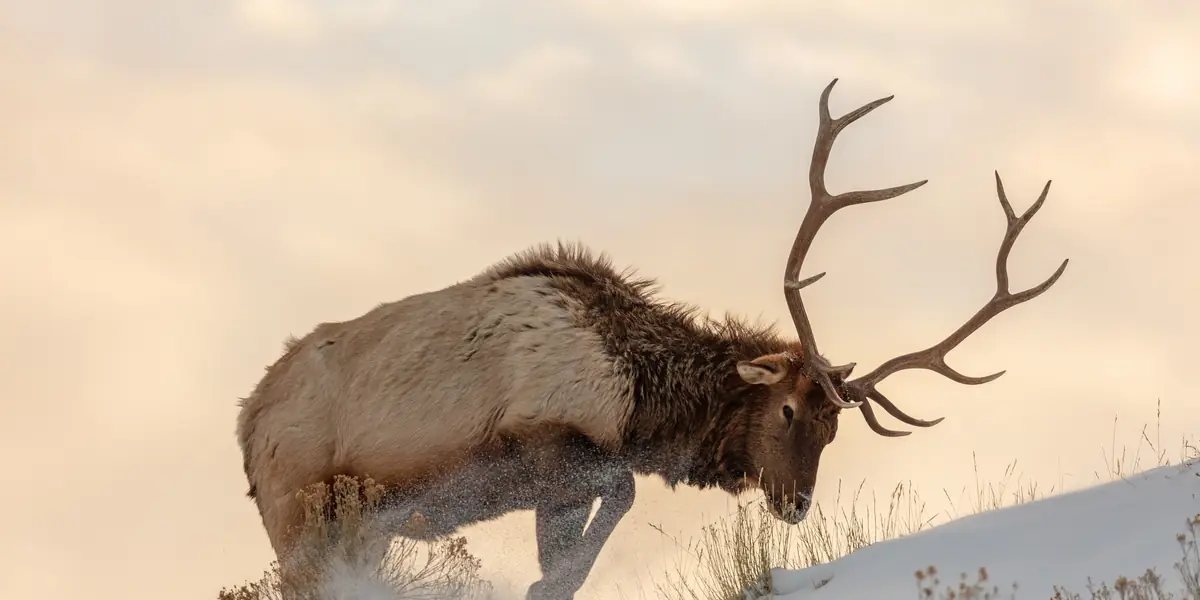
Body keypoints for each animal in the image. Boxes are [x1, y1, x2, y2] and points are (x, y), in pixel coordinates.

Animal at [236, 78, 1068, 600]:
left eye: (836, 429)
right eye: (789, 410)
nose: (796, 504)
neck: (639, 399)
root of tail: (247, 420)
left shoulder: (558, 484)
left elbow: (583, 544)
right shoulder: (545, 445)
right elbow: (620, 497)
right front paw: (544, 578)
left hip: (352, 529)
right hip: (297, 516)